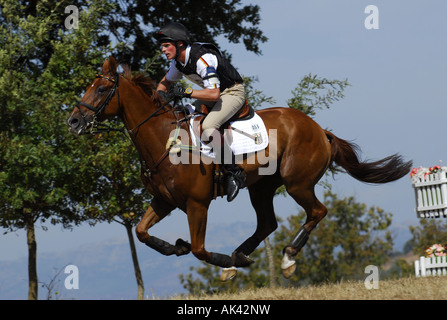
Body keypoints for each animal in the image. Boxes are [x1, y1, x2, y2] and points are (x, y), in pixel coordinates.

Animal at [66, 57, 412, 280]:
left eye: (101, 90)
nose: (73, 121)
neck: (165, 140)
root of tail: (319, 129)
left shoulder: (197, 204)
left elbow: (200, 250)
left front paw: (218, 260)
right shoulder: (164, 201)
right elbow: (141, 232)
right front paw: (177, 248)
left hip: (297, 183)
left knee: (317, 212)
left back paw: (285, 258)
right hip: (261, 187)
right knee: (267, 224)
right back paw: (239, 255)